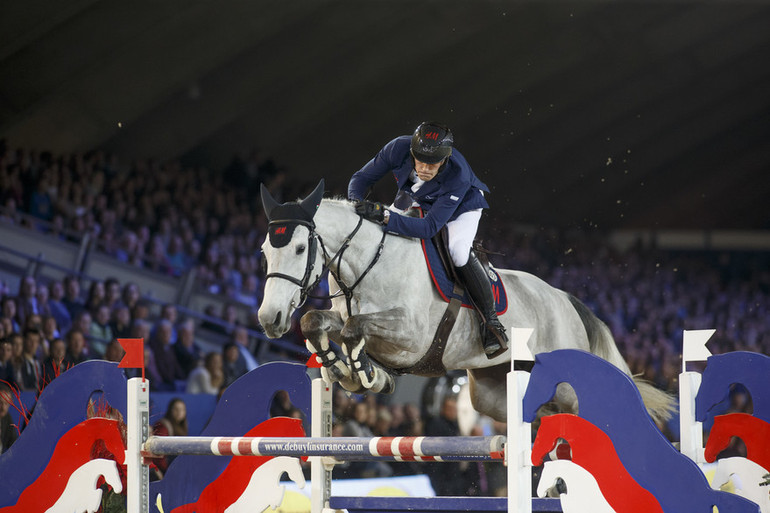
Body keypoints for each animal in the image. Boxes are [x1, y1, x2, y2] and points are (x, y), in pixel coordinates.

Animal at [255, 182, 668, 422]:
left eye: (300, 248)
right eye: (264, 251)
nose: (269, 318)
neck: (372, 262)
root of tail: (566, 300)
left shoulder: (411, 337)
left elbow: (357, 329)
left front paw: (365, 373)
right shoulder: (345, 320)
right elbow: (316, 322)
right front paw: (343, 369)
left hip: (566, 385)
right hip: (491, 392)